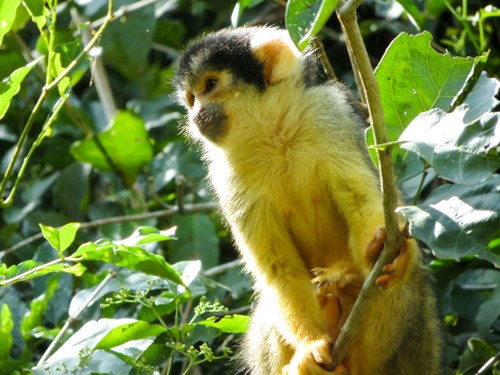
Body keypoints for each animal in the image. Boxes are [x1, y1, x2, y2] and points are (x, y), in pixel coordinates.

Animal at [174, 27, 440, 375]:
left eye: (210, 85)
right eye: (191, 98)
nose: (195, 114)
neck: (274, 134)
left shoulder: (331, 113)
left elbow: (362, 200)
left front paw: (388, 251)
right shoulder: (224, 173)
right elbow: (278, 267)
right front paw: (309, 345)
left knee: (403, 286)